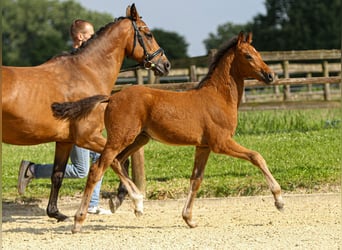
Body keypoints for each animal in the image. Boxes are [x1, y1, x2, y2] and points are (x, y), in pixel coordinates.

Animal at [1, 4, 170, 223]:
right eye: (148, 33)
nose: (166, 65)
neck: (86, 72)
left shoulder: (65, 140)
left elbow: (58, 175)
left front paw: (55, 213)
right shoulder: (87, 137)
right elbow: (117, 161)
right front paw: (132, 200)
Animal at [52, 31, 284, 232]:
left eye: (258, 53)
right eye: (248, 55)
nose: (271, 75)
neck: (218, 98)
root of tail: (111, 97)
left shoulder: (203, 146)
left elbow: (196, 180)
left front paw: (189, 219)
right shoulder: (221, 143)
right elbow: (256, 156)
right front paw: (279, 200)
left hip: (139, 139)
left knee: (118, 161)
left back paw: (129, 203)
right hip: (121, 138)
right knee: (97, 168)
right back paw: (79, 221)